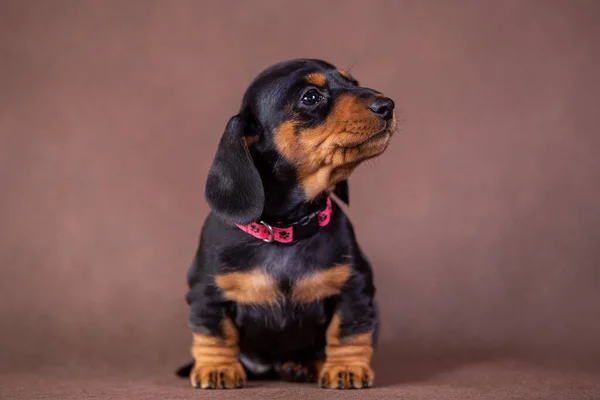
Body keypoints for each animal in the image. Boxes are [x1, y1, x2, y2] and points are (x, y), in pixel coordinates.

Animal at [180, 57, 396, 390]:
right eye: (311, 96)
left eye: (353, 83)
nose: (387, 105)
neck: (285, 230)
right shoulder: (207, 292)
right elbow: (215, 333)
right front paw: (217, 368)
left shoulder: (354, 288)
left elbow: (349, 331)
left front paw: (346, 368)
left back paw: (302, 365)